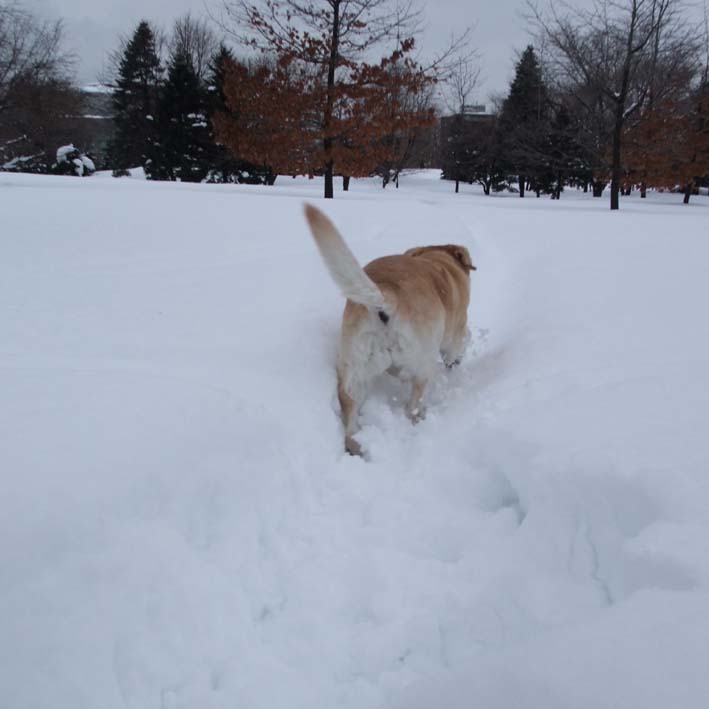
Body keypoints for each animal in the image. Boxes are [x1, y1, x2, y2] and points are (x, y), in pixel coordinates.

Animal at [302, 202, 472, 456]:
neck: (437, 259)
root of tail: (386, 294)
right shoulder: (455, 333)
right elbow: (460, 345)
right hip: (423, 364)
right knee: (413, 404)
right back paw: (417, 418)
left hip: (355, 368)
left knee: (349, 413)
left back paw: (357, 445)